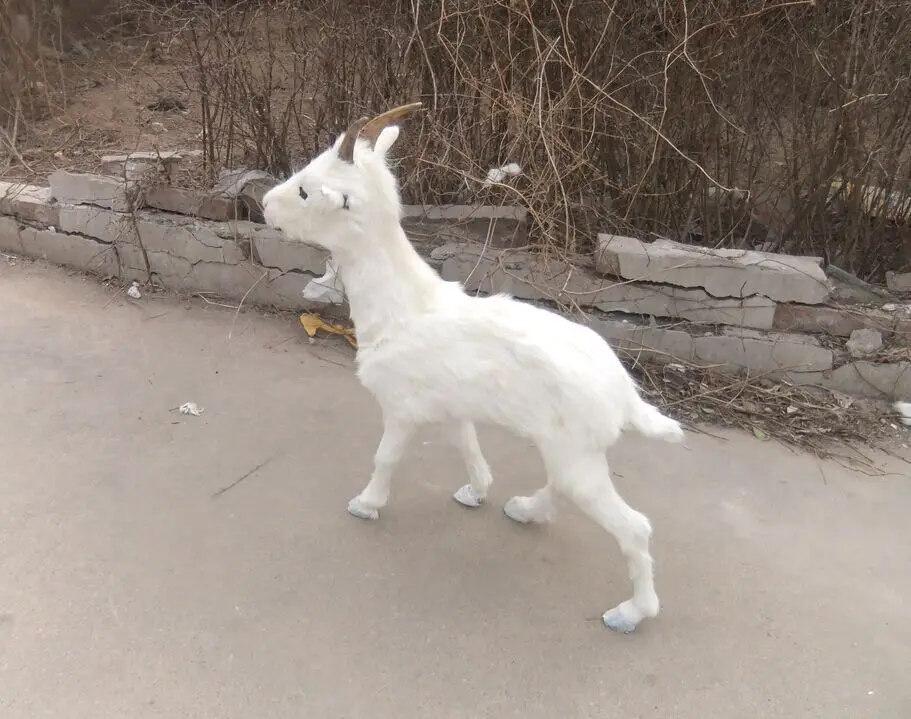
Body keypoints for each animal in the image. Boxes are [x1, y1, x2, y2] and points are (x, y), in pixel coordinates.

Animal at [261, 103, 686, 633]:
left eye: (305, 189)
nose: (264, 204)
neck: (406, 309)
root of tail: (625, 395)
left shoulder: (402, 409)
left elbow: (385, 458)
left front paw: (366, 504)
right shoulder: (450, 408)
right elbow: (469, 447)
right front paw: (476, 491)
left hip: (577, 454)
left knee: (634, 527)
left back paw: (630, 613)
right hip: (571, 453)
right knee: (562, 489)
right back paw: (523, 509)